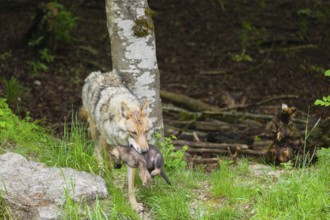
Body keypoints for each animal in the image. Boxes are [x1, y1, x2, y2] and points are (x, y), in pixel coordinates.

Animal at [81, 70, 151, 211]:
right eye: (133, 133)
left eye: (146, 132)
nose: (145, 151)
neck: (121, 139)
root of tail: (97, 73)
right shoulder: (108, 148)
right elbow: (110, 168)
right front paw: (113, 183)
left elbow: (131, 185)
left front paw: (134, 204)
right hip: (94, 130)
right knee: (96, 151)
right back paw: (101, 169)